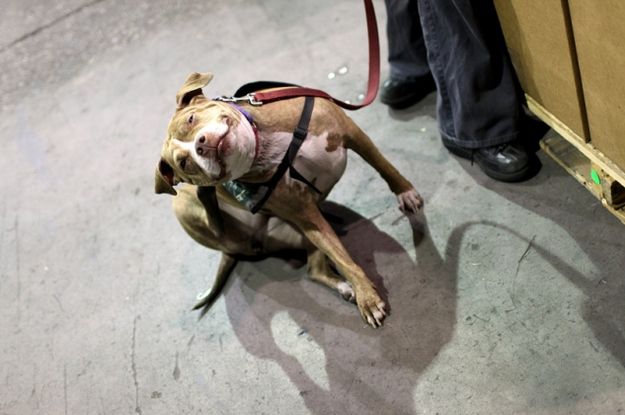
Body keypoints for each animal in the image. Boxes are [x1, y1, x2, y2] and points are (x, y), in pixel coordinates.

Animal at [155, 72, 422, 328]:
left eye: (191, 119)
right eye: (183, 163)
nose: (200, 145)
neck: (263, 149)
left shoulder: (353, 134)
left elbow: (386, 168)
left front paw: (405, 192)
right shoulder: (304, 215)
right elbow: (343, 259)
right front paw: (366, 297)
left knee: (315, 267)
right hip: (188, 208)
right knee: (313, 268)